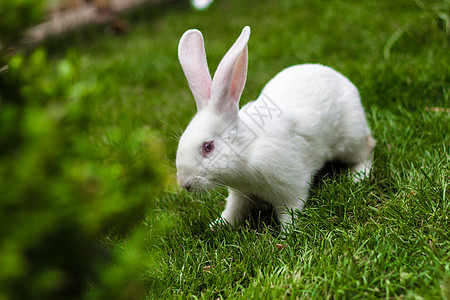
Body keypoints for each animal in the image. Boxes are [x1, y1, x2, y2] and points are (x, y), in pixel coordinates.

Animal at [176, 26, 376, 230]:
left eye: (208, 147)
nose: (184, 184)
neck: (249, 151)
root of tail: (341, 79)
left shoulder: (291, 188)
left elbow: (290, 212)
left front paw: (288, 233)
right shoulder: (240, 194)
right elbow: (232, 211)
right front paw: (217, 226)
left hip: (351, 138)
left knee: (367, 150)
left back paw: (357, 176)